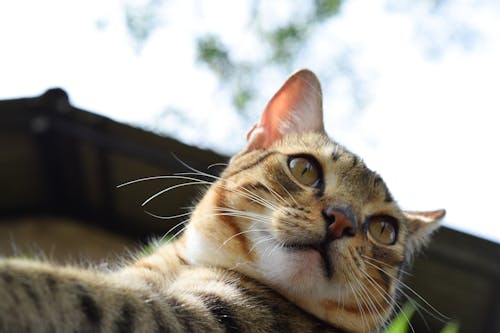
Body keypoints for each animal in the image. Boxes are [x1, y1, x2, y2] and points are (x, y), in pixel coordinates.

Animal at [0, 68, 446, 330]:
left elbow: (68, 291)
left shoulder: (191, 318)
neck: (180, 267)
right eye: (305, 169)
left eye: (384, 230)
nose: (342, 219)